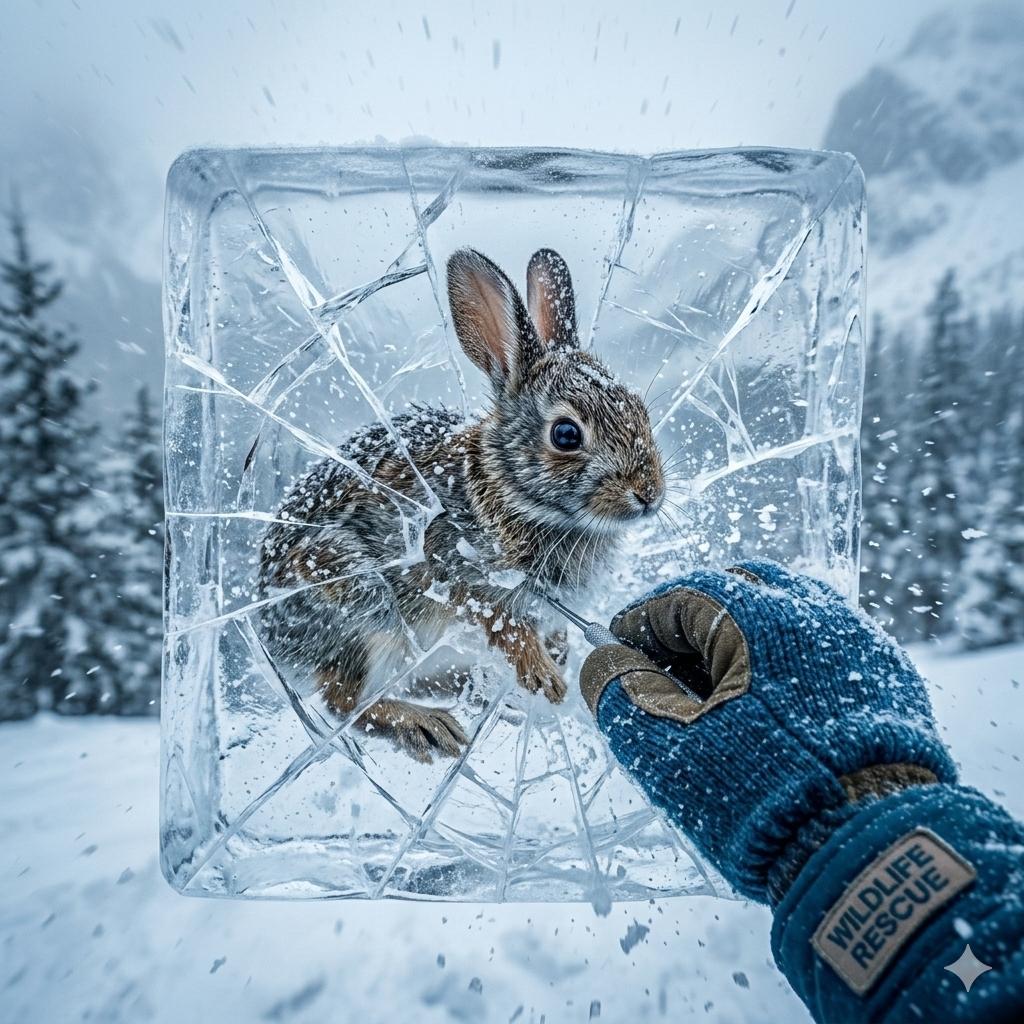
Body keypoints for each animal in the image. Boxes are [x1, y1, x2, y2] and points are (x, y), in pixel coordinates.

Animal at [257, 247, 666, 763]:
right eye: (566, 435)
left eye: (640, 410)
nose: (649, 494)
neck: (507, 490)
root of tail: (272, 638)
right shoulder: (459, 570)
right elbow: (503, 624)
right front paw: (545, 679)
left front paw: (556, 660)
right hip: (366, 612)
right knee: (342, 702)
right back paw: (427, 722)